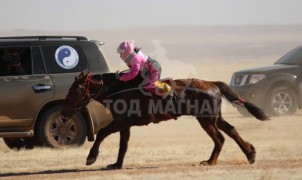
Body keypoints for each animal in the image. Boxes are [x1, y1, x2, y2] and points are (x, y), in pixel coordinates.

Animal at [61, 71, 268, 169]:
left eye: (76, 89)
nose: (63, 112)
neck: (119, 89)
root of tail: (213, 84)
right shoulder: (124, 124)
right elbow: (123, 145)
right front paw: (116, 164)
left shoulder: (123, 121)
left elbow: (103, 133)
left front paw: (91, 157)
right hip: (213, 118)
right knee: (231, 131)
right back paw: (250, 154)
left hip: (206, 120)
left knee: (220, 138)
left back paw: (210, 161)